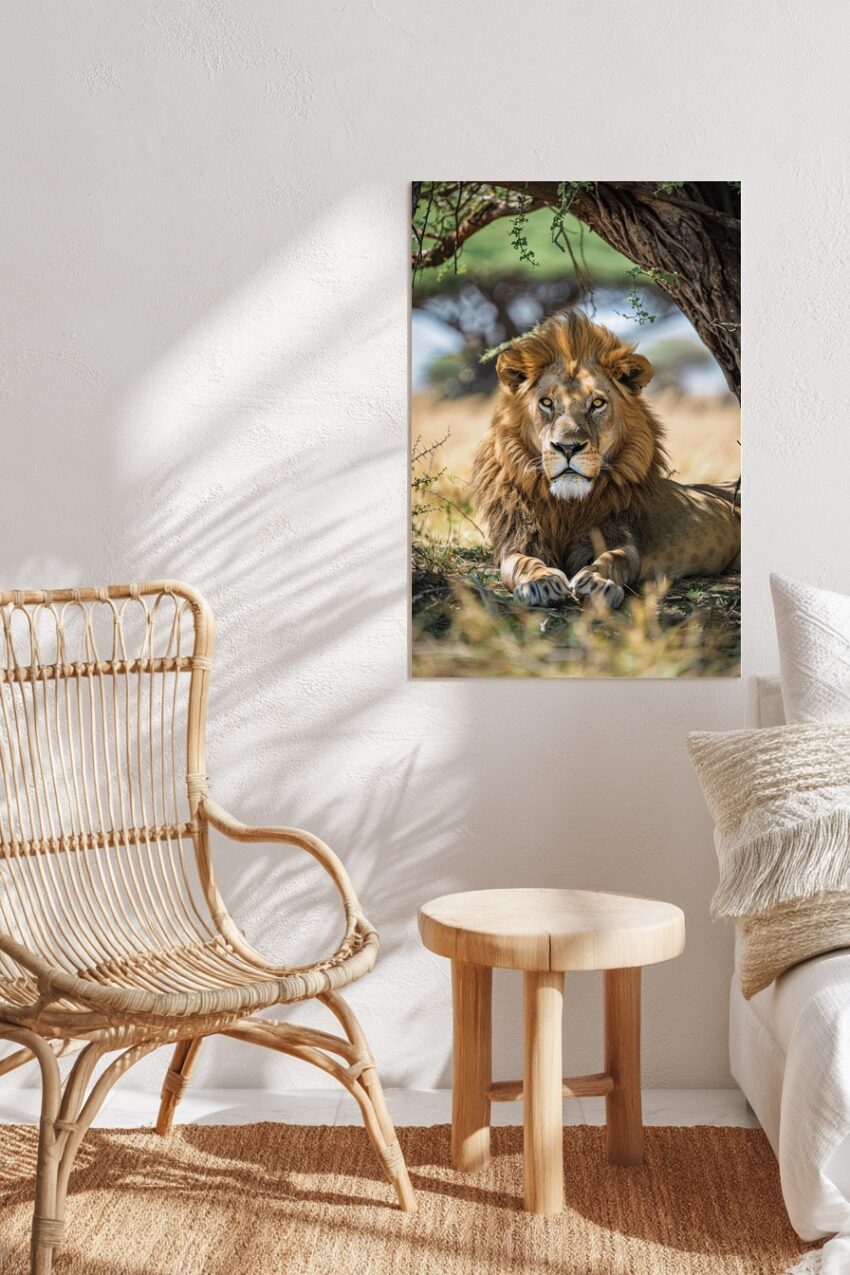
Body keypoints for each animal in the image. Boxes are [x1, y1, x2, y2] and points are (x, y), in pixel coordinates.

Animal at [471, 308, 740, 609]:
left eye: (597, 404)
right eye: (546, 403)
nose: (567, 447)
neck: (566, 506)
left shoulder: (621, 537)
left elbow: (613, 559)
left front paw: (597, 582)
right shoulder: (515, 541)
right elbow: (523, 563)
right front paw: (540, 582)